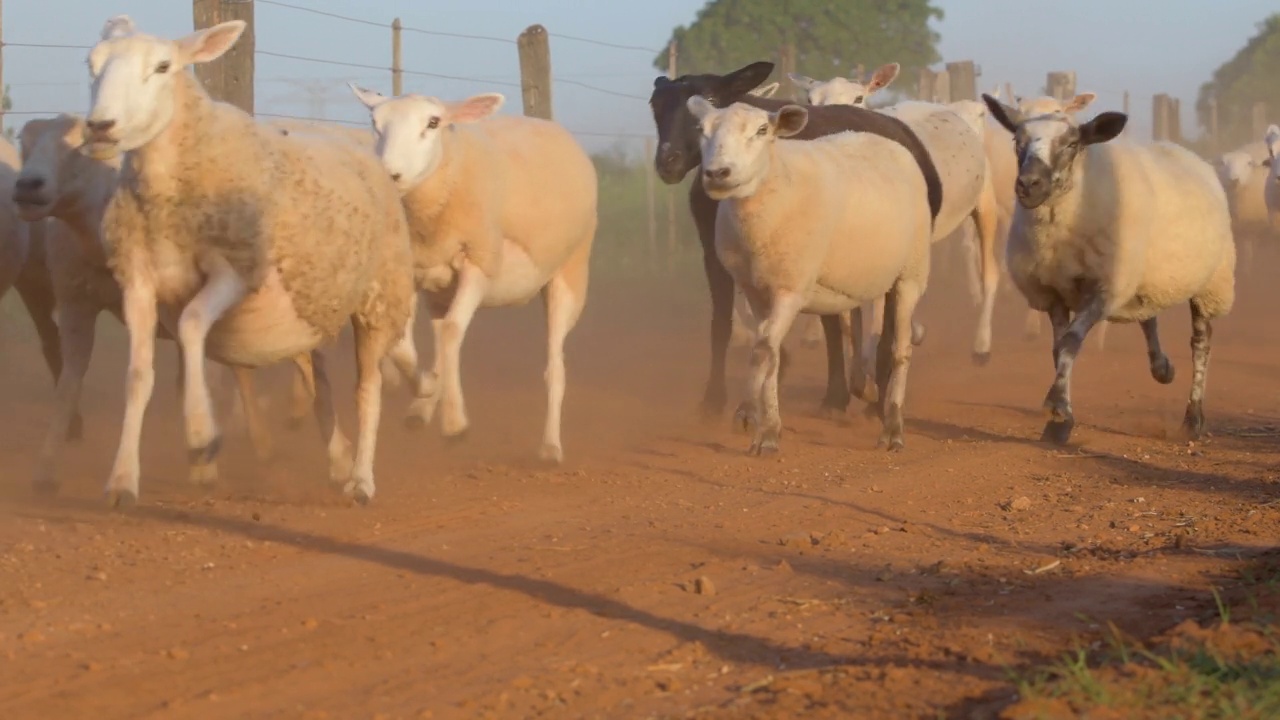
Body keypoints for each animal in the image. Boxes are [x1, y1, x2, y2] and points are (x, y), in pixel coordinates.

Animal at [353, 82, 596, 458]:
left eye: (433, 122)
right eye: (375, 123)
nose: (390, 175)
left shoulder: (480, 262)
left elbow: (454, 331)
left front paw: (455, 423)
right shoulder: (414, 270)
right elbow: (405, 344)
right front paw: (424, 389)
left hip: (569, 273)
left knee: (554, 366)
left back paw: (550, 447)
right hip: (441, 290)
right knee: (441, 338)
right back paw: (422, 408)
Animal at [686, 97, 936, 450]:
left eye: (762, 130)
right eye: (701, 130)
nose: (717, 173)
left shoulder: (791, 288)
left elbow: (762, 349)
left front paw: (748, 415)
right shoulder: (755, 289)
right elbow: (771, 353)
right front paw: (768, 428)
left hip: (911, 273)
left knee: (901, 349)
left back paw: (892, 428)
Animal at [977, 94, 1239, 443]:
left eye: (1072, 143)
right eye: (1017, 141)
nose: (1028, 185)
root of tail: (1184, 152)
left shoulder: (1102, 290)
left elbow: (1070, 343)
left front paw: (1057, 409)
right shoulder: (1053, 291)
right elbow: (1058, 349)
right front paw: (1060, 417)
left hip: (1210, 282)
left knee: (1200, 343)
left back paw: (1193, 419)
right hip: (1141, 278)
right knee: (1148, 318)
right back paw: (1162, 368)